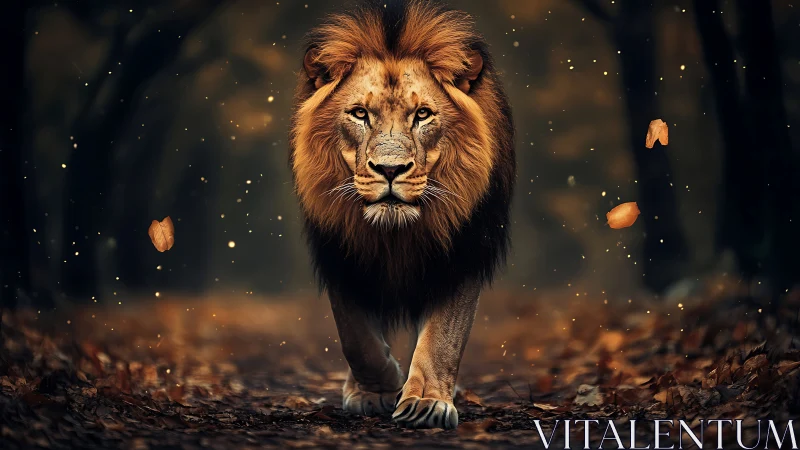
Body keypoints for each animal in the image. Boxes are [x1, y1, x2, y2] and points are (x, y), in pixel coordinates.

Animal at [290, 0, 515, 429]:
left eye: (423, 114)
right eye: (360, 113)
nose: (390, 169)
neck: (396, 233)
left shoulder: (462, 254)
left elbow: (442, 337)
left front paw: (425, 402)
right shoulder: (341, 253)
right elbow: (356, 337)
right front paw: (378, 389)